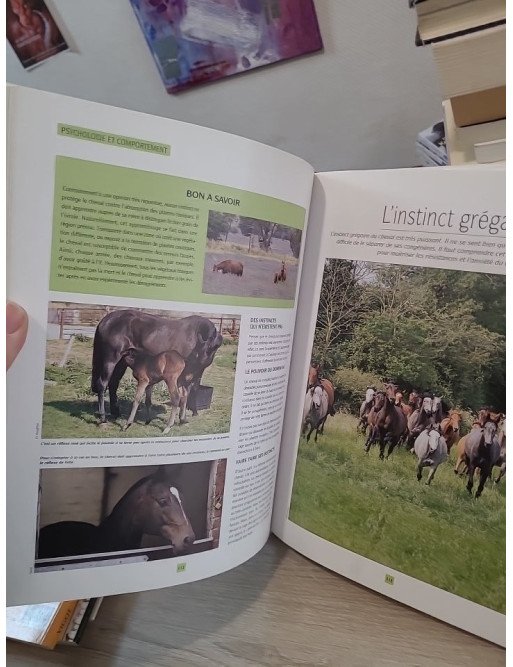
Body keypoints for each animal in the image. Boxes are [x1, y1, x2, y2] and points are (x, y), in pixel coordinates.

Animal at [91, 310, 223, 424]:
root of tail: (105, 320)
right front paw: (183, 416)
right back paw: (103, 417)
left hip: (122, 362)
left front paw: (186, 416)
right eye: (198, 352)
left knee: (113, 383)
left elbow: (191, 390)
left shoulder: (197, 372)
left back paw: (116, 413)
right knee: (102, 384)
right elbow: (185, 392)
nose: (194, 364)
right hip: (110, 360)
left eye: (210, 351)